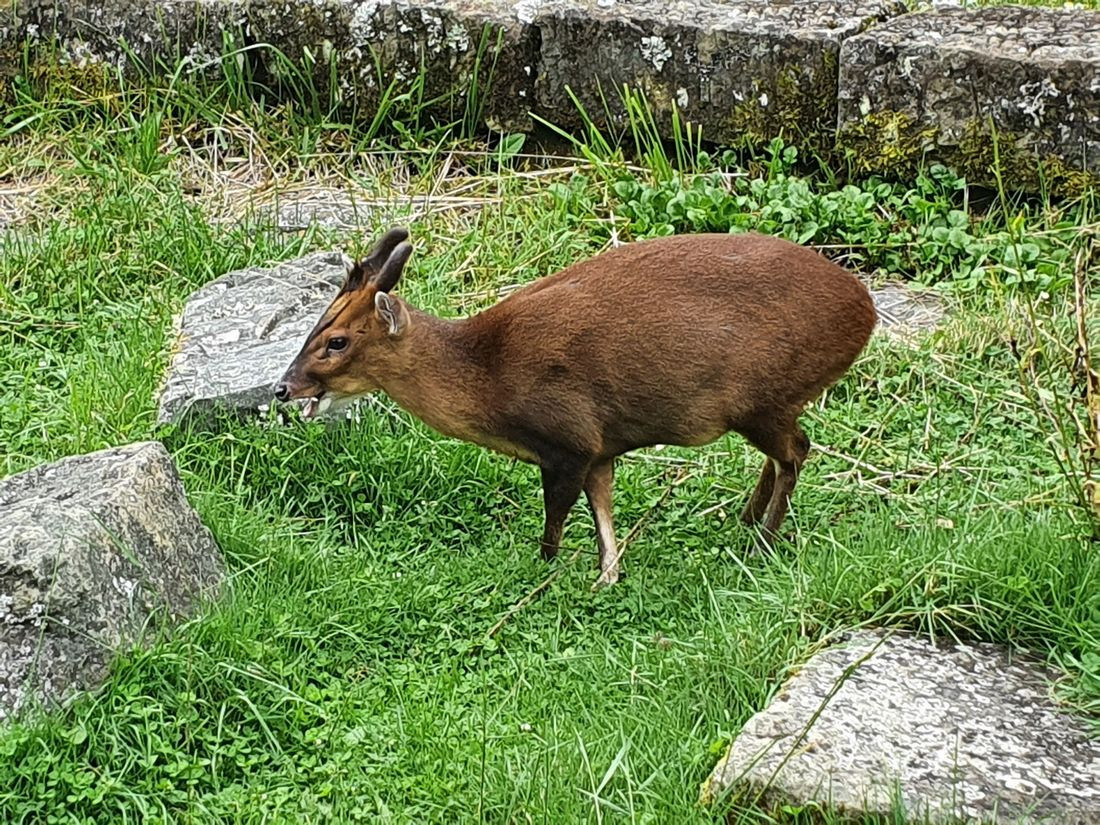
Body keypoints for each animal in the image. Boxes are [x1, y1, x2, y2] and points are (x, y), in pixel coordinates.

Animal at [275, 226, 875, 589]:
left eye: (336, 342)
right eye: (315, 327)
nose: (283, 388)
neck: (486, 375)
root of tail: (865, 310)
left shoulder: (567, 437)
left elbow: (555, 521)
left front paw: (546, 575)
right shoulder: (600, 447)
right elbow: (603, 513)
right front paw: (607, 576)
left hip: (763, 396)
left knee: (797, 450)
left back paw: (764, 543)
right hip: (768, 404)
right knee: (783, 455)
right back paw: (745, 522)